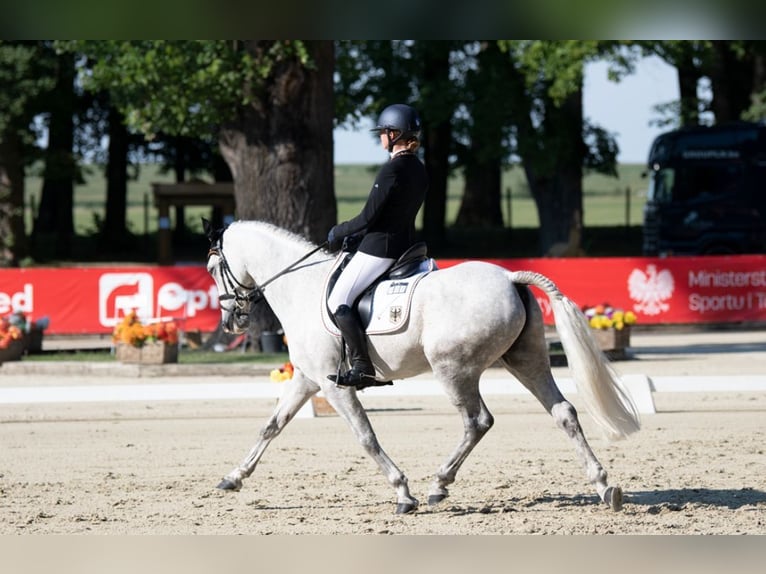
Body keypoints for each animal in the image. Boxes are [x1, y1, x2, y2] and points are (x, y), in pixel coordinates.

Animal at [203, 219, 640, 514]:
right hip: (525, 360)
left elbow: (366, 437)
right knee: (563, 412)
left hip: (454, 369)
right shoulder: (309, 381)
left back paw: (438, 485)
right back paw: (604, 487)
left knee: (477, 421)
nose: (231, 322)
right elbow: (271, 426)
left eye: (211, 270)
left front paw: (403, 492)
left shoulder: (333, 386)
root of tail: (510, 277)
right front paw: (233, 478)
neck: (301, 287)